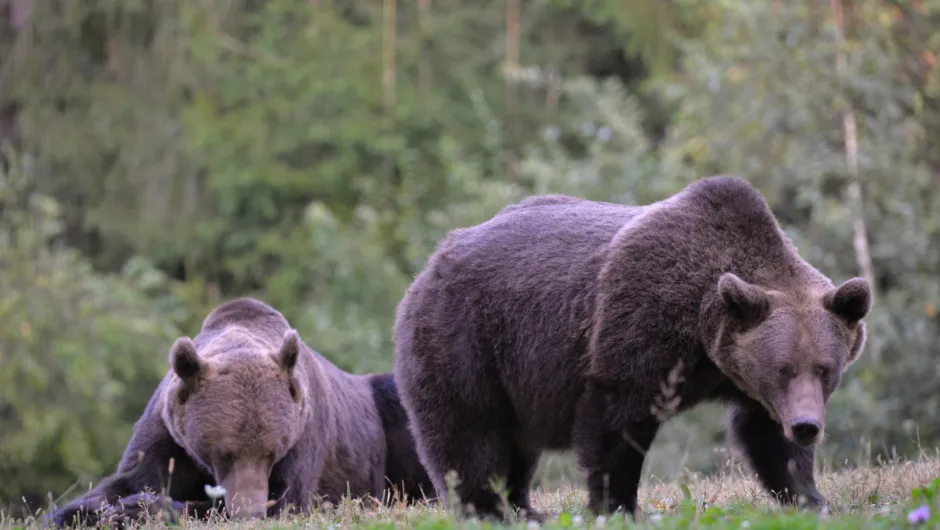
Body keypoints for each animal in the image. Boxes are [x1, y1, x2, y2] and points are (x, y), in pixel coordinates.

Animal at [46, 294, 436, 524]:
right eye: (224, 452)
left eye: (273, 452)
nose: (250, 510)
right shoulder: (167, 436)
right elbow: (129, 480)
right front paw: (91, 511)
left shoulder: (305, 439)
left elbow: (287, 501)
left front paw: (140, 509)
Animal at [392, 176, 872, 520]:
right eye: (783, 368)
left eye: (825, 368)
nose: (807, 426)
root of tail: (432, 261)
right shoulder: (643, 319)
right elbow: (617, 419)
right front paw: (617, 505)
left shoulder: (744, 376)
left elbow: (767, 439)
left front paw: (812, 497)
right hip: (468, 338)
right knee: (470, 430)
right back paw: (486, 509)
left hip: (517, 381)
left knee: (518, 444)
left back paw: (526, 508)